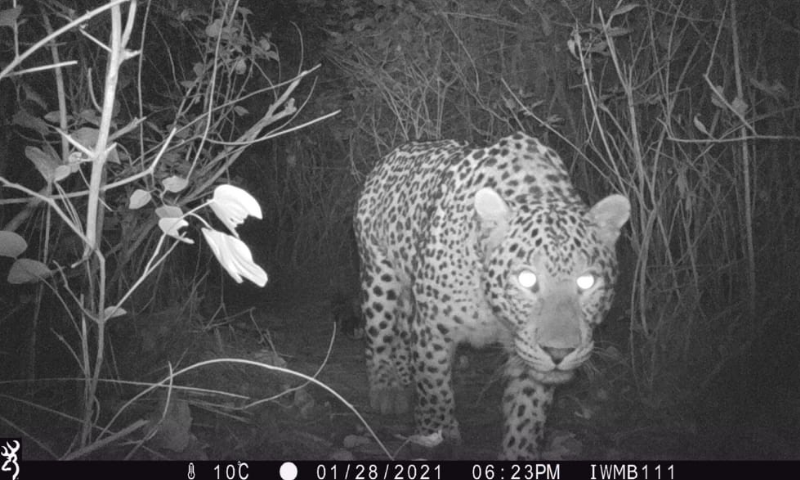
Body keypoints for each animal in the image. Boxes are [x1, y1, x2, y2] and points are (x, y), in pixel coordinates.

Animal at [354, 130, 632, 458]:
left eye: (587, 281)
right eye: (526, 279)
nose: (559, 353)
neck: (493, 309)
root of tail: (396, 151)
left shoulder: (526, 351)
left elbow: (526, 413)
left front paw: (519, 452)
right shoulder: (433, 328)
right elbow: (434, 388)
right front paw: (437, 436)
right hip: (378, 274)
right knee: (379, 334)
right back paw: (387, 388)